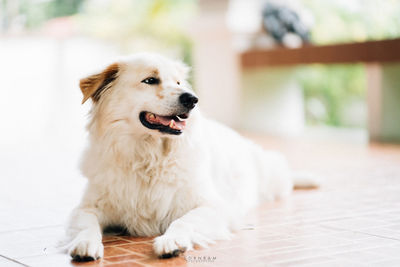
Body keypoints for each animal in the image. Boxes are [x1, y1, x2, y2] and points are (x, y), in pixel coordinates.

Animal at [66, 52, 316, 262]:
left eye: (178, 83)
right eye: (150, 80)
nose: (192, 99)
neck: (148, 157)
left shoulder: (213, 206)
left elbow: (183, 220)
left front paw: (172, 241)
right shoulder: (86, 207)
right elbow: (87, 225)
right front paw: (85, 243)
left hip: (273, 178)